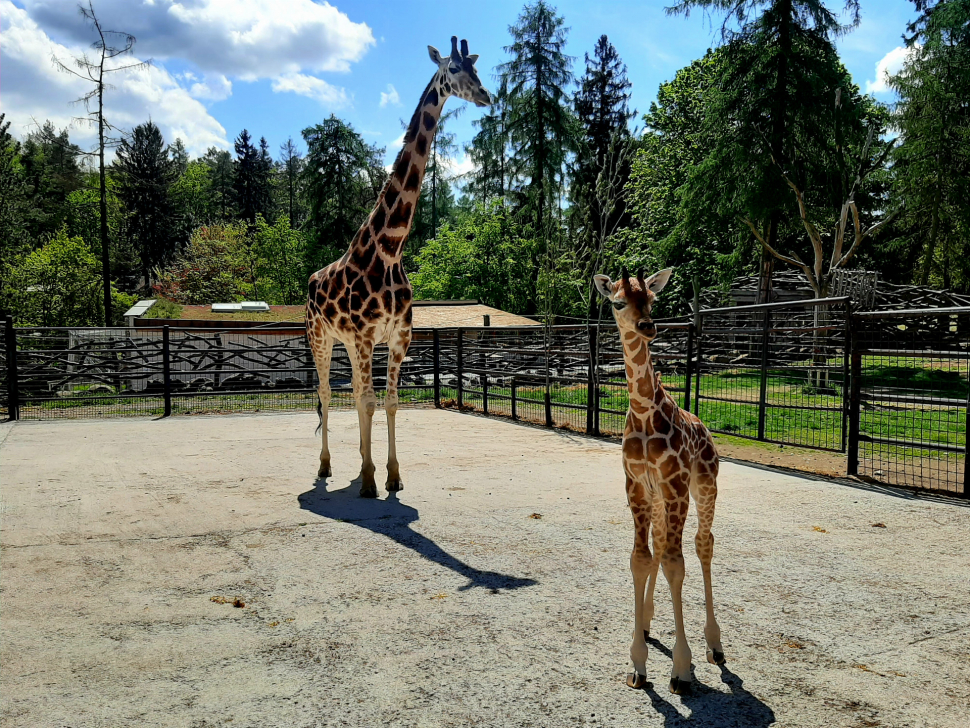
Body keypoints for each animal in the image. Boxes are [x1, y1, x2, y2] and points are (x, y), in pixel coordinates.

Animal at [308, 37, 492, 498]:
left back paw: (358, 463)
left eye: (476, 68)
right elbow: (369, 401)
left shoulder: (397, 337)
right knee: (325, 391)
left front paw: (389, 474)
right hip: (320, 337)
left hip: (346, 344)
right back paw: (326, 466)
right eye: (454, 69)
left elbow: (387, 402)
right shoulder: (364, 336)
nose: (486, 96)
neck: (389, 248)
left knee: (355, 392)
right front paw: (371, 481)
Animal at [588, 266, 728, 692]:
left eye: (651, 300)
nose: (647, 326)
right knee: (661, 544)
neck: (644, 412)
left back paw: (715, 644)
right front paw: (637, 662)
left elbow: (674, 564)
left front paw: (681, 669)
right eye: (618, 303)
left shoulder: (676, 484)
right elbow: (642, 559)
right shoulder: (636, 486)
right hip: (659, 500)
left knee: (703, 544)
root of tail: (704, 426)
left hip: (704, 486)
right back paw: (648, 621)